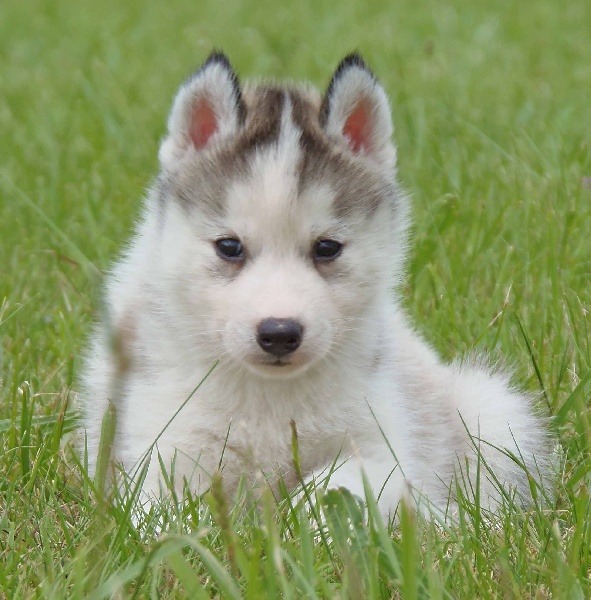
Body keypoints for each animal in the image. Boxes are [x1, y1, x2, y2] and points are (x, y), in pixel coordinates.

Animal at [81, 51, 552, 516]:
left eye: (327, 248)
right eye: (229, 246)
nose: (279, 333)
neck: (269, 399)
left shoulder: (382, 451)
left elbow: (328, 490)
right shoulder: (163, 448)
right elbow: (163, 517)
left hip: (491, 411)